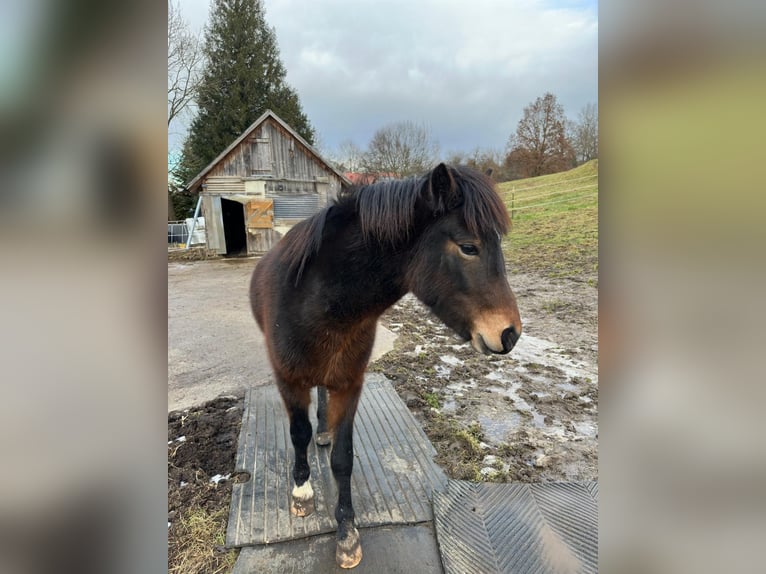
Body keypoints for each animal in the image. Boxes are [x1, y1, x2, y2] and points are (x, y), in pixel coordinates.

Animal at [250, 164, 520, 568]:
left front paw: (347, 532)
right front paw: (301, 493)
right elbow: (297, 434)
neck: (315, 302)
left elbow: (343, 459)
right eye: (469, 246)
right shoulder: (288, 380)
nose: (510, 334)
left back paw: (324, 431)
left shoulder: (350, 383)